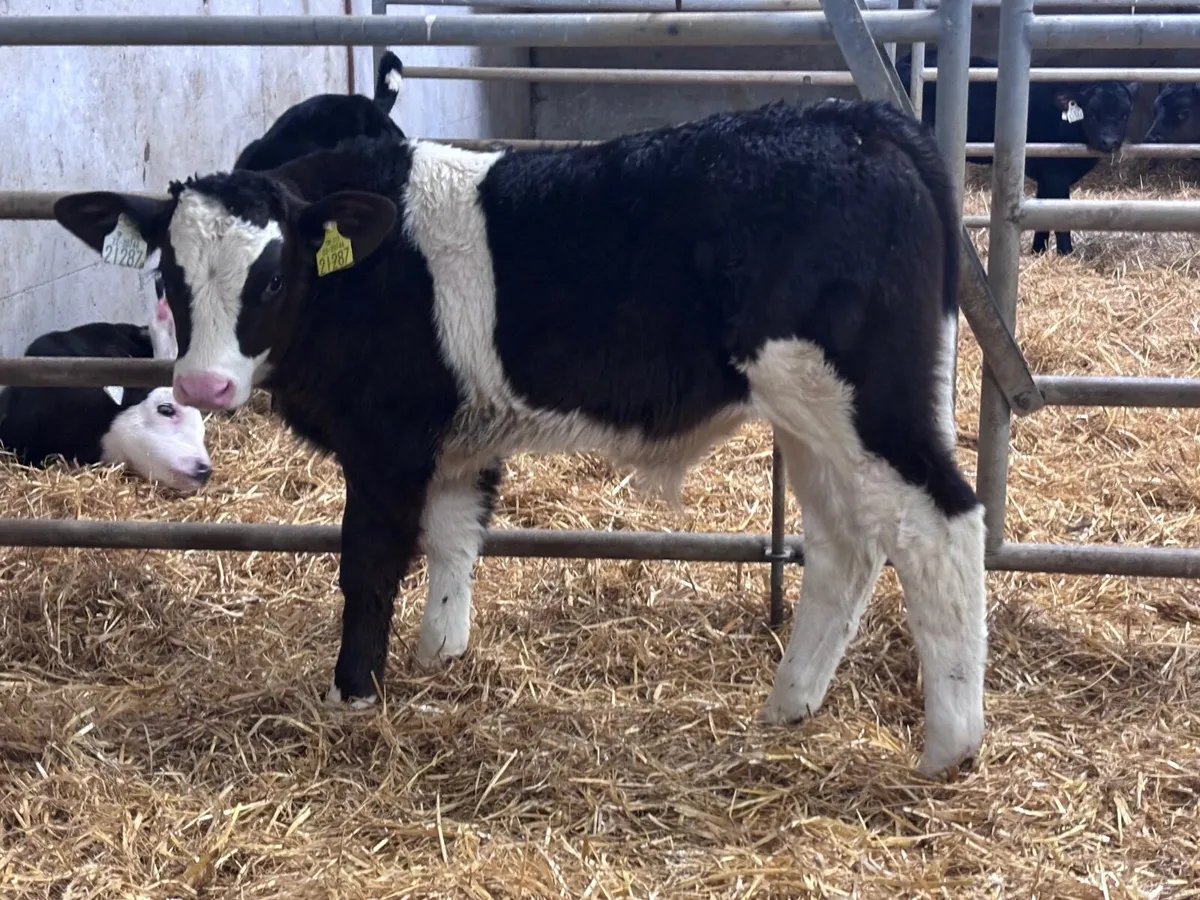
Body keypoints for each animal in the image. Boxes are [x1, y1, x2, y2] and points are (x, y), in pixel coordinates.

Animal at [52, 98, 988, 778]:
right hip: (811, 419)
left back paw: (950, 745)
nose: (202, 386)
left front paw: (354, 691)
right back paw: (789, 705)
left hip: (863, 401)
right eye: (171, 275)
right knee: (845, 548)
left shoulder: (386, 438)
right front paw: (440, 656)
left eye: (274, 277)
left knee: (940, 526)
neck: (370, 268)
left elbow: (370, 562)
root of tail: (858, 118)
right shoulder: (460, 438)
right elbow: (455, 537)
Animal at [896, 49, 1139, 255]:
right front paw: (1066, 253)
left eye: (1125, 114)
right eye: (1092, 113)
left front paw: (1037, 251)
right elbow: (1061, 217)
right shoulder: (1056, 174)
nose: (1110, 141)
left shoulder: (1047, 177)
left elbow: (1044, 213)